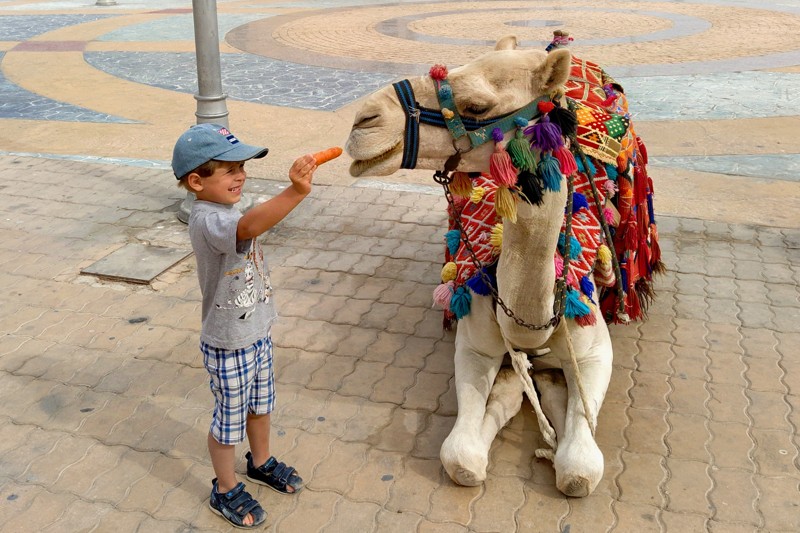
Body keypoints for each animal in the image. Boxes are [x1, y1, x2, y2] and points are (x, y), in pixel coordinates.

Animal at [344, 35, 656, 496]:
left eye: (476, 105)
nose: (363, 121)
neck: (531, 320)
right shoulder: (473, 344)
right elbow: (461, 458)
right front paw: (515, 386)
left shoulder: (595, 350)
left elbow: (580, 470)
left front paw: (553, 394)